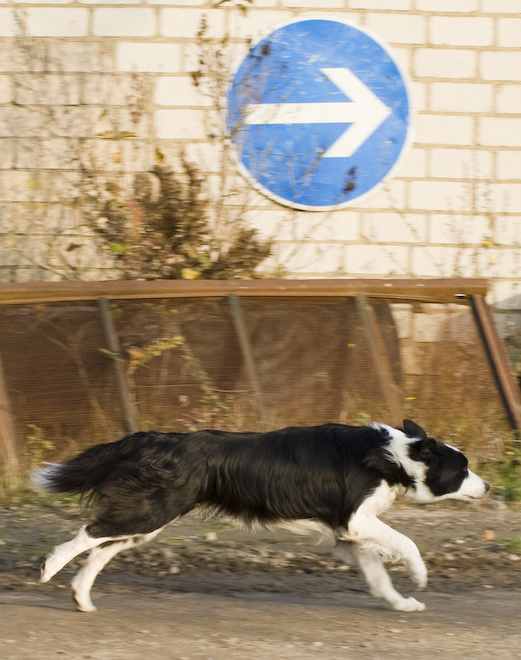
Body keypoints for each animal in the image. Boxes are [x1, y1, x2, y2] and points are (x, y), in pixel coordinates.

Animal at [35, 422, 488, 612]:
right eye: (463, 468)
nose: (486, 488)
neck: (395, 456)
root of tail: (156, 438)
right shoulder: (356, 521)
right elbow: (407, 543)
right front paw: (420, 577)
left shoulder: (346, 532)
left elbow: (378, 578)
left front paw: (403, 604)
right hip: (151, 510)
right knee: (91, 532)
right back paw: (49, 567)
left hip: (151, 517)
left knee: (101, 548)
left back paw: (81, 599)